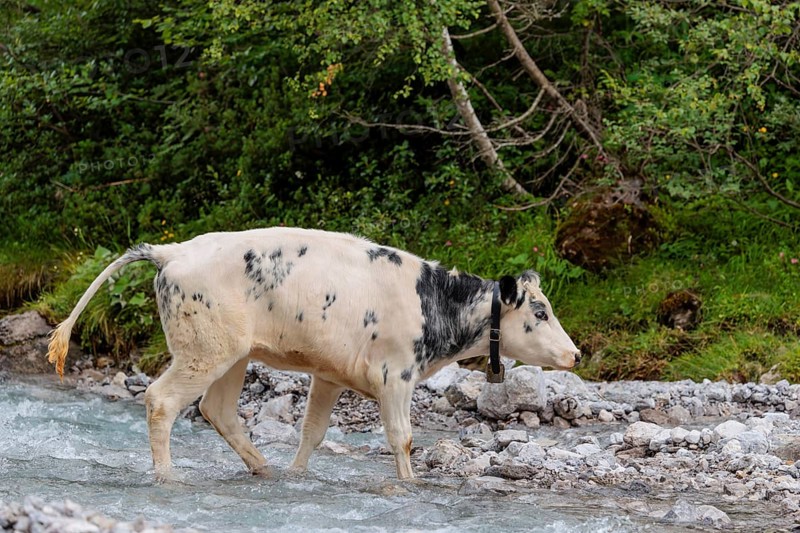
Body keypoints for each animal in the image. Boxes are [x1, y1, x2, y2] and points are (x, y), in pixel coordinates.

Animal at [47, 227, 581, 481]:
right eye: (540, 309)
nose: (575, 354)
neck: (434, 301)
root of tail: (172, 251)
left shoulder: (330, 374)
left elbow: (313, 434)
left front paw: (296, 475)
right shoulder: (396, 375)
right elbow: (402, 438)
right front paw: (409, 484)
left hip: (233, 354)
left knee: (217, 410)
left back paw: (263, 468)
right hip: (204, 351)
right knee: (162, 401)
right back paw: (167, 476)